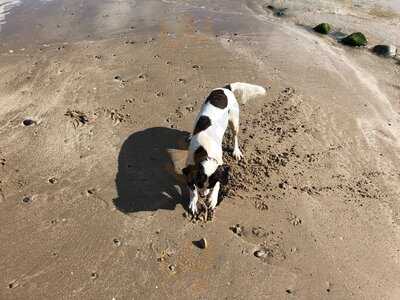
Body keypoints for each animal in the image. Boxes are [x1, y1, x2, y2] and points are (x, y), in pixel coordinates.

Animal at [184, 82, 268, 213]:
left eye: (211, 185)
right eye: (199, 183)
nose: (203, 195)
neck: (205, 150)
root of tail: (225, 88)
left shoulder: (219, 165)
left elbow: (218, 184)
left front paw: (213, 198)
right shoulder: (190, 166)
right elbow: (192, 190)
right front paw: (194, 201)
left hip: (234, 121)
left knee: (235, 136)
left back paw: (236, 151)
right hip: (200, 113)